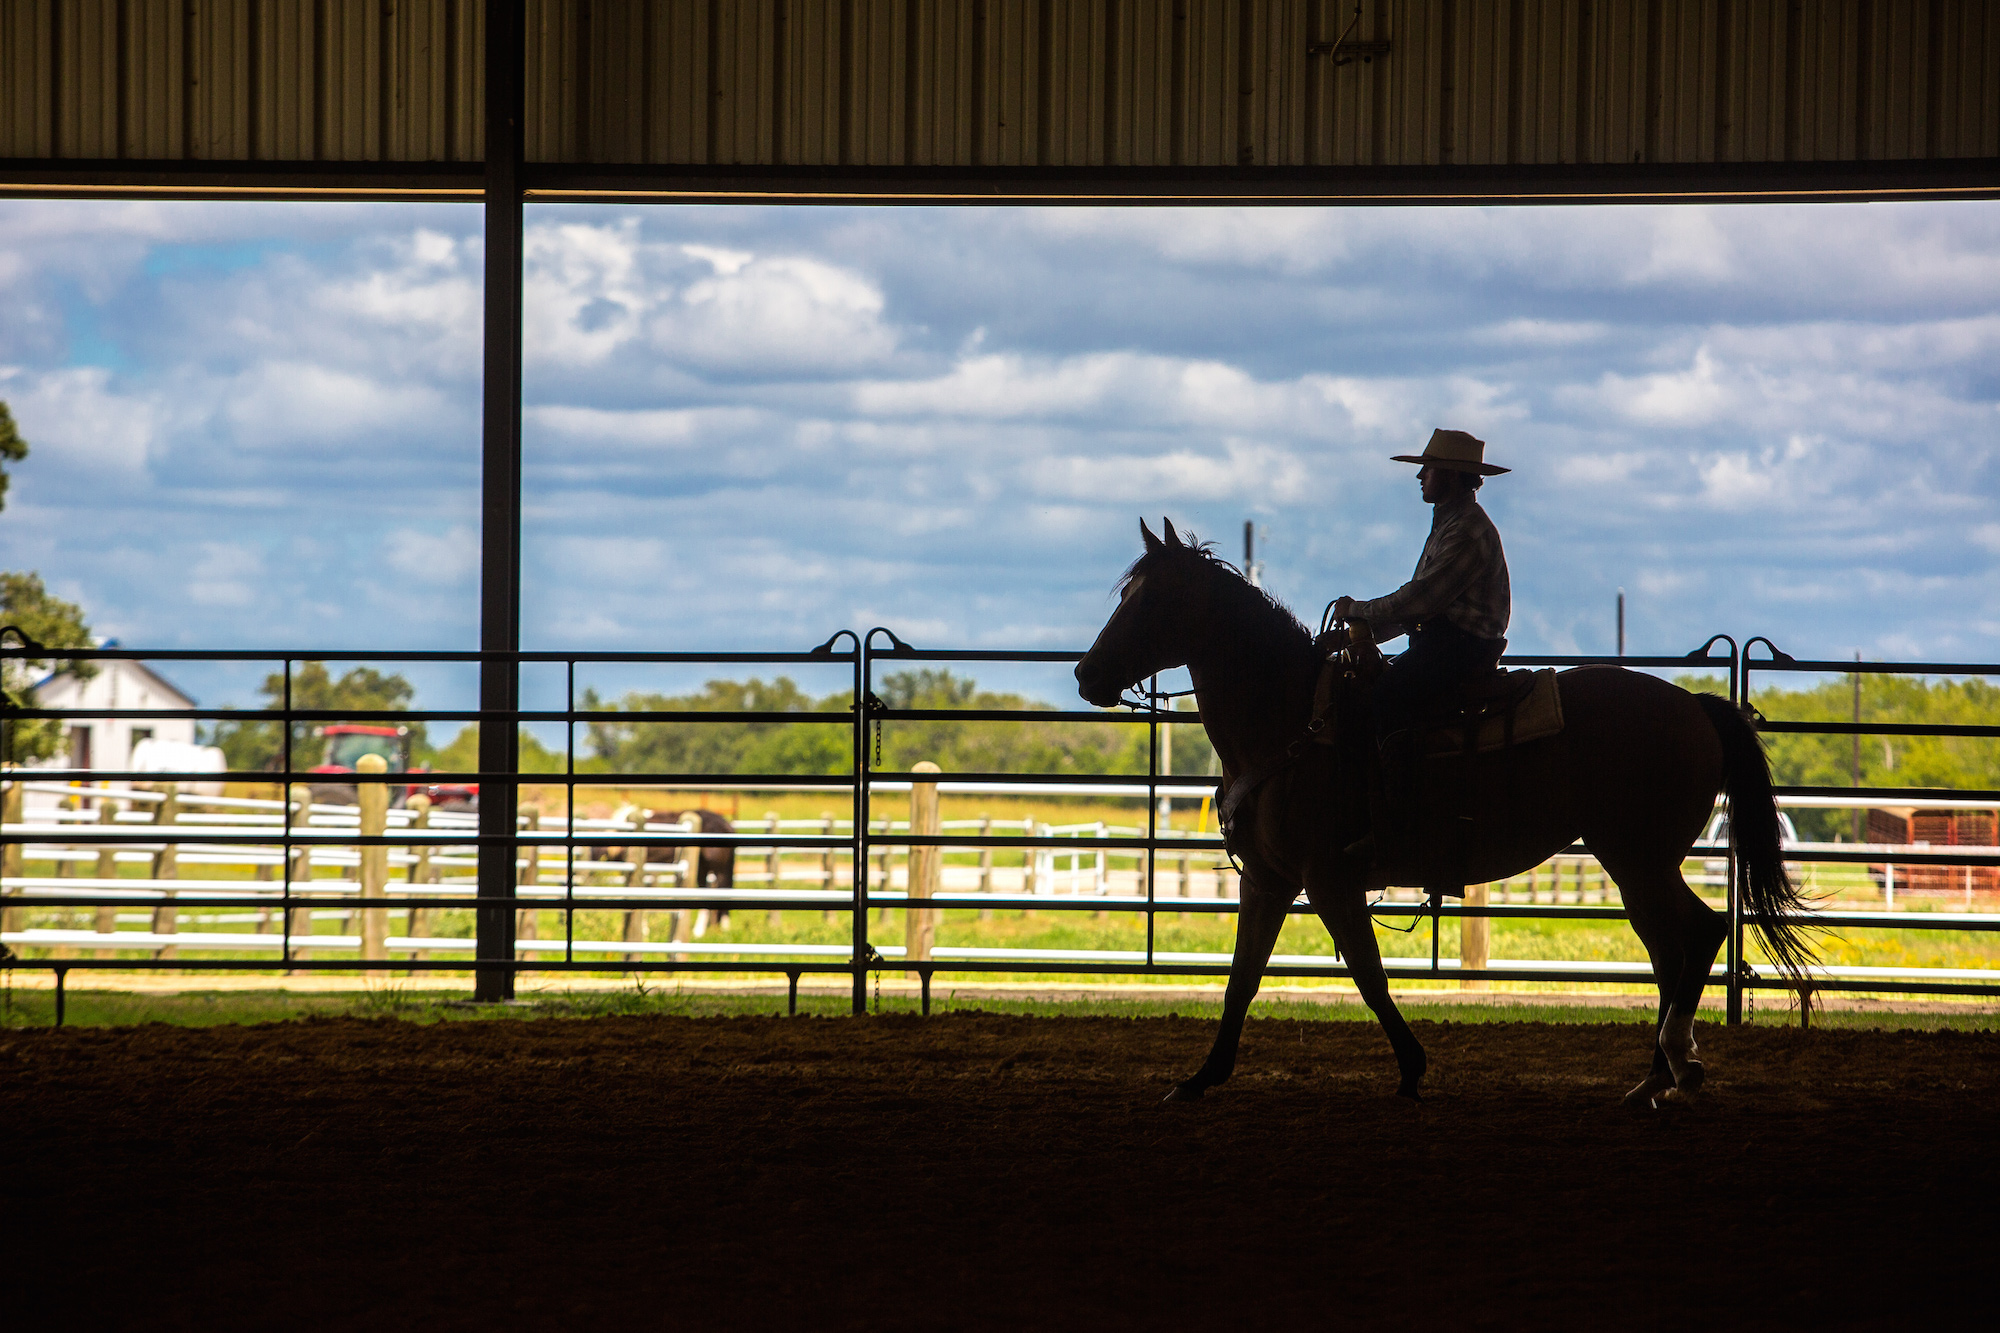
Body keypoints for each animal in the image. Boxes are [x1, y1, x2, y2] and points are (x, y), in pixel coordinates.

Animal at [1080, 516, 1816, 1096]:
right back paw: (1654, 1077)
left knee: (1697, 935)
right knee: (1671, 951)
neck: (1291, 722)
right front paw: (1201, 1078)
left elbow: (1369, 975)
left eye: (1151, 598)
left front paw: (1412, 1068)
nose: (1087, 675)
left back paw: (1677, 1068)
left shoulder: (1329, 879)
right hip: (1638, 863)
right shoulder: (1268, 880)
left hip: (1640, 859)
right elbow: (1240, 980)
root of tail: (1695, 706)